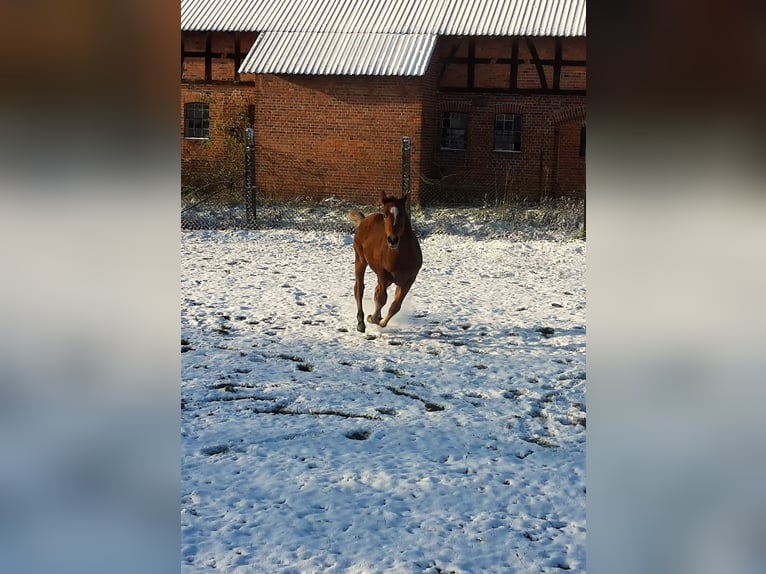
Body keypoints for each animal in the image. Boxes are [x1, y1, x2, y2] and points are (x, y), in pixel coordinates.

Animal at [350, 191, 424, 332]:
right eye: (384, 215)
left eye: (402, 214)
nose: (392, 240)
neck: (400, 257)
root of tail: (364, 220)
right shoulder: (382, 274)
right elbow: (381, 299)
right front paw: (372, 319)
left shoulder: (408, 280)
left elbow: (395, 306)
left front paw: (380, 320)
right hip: (360, 260)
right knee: (359, 288)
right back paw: (361, 322)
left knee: (375, 291)